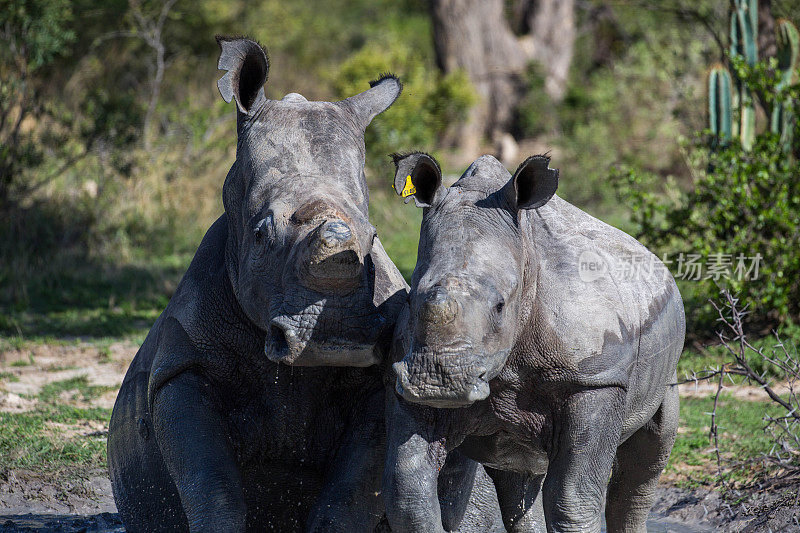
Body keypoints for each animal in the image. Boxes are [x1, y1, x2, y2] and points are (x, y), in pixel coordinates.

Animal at [384, 152, 684, 528]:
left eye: (500, 306)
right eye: (410, 300)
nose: (437, 385)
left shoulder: (595, 378)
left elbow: (573, 501)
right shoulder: (405, 373)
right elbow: (409, 493)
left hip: (663, 357)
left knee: (648, 456)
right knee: (517, 474)